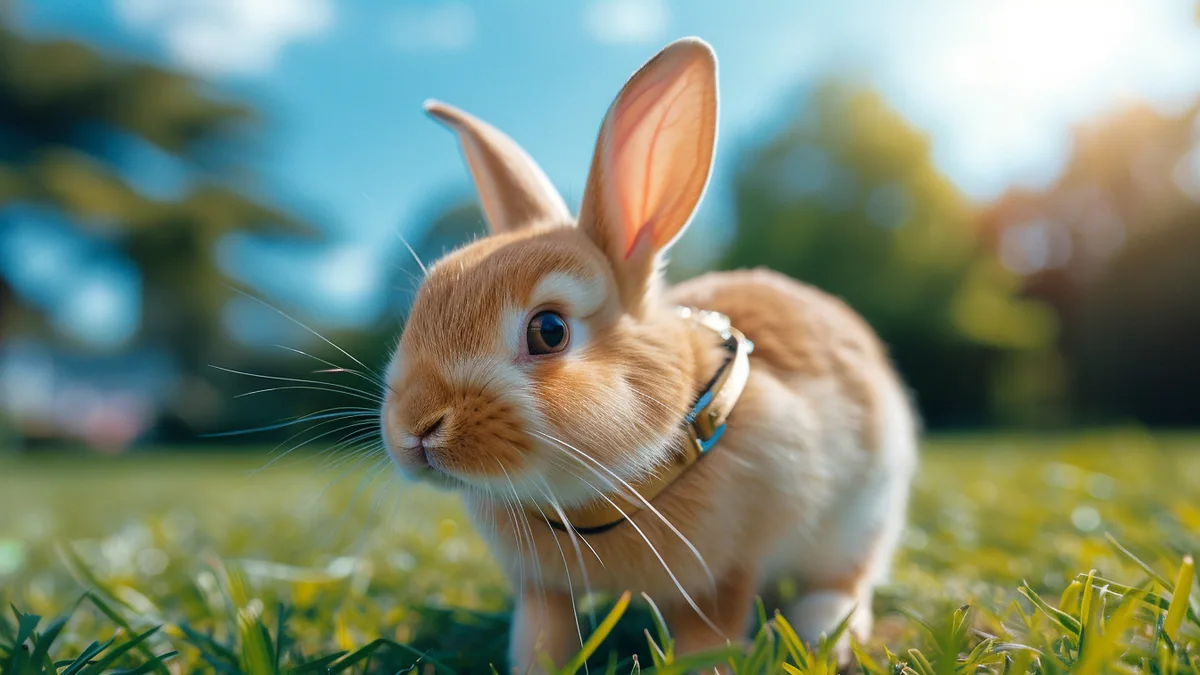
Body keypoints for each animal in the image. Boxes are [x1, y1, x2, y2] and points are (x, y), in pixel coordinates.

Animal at [381, 36, 919, 673]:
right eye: (425, 299)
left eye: (549, 331)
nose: (415, 429)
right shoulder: (543, 591)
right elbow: (543, 637)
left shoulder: (723, 573)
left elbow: (710, 635)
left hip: (864, 516)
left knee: (847, 577)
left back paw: (823, 631)